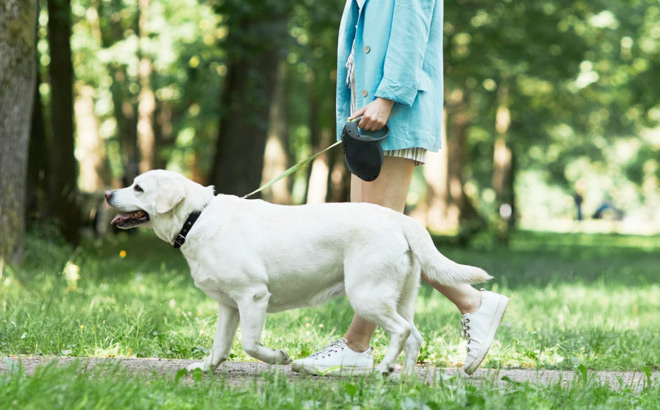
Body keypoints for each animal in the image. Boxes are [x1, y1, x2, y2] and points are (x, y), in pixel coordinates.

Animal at [105, 169, 490, 374]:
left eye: (138, 187)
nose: (108, 193)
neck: (196, 218)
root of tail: (399, 218)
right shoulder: (228, 306)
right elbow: (220, 345)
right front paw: (205, 369)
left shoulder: (253, 296)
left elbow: (249, 344)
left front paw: (278, 357)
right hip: (401, 295)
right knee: (415, 336)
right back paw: (402, 378)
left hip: (366, 296)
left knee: (402, 331)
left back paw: (383, 368)